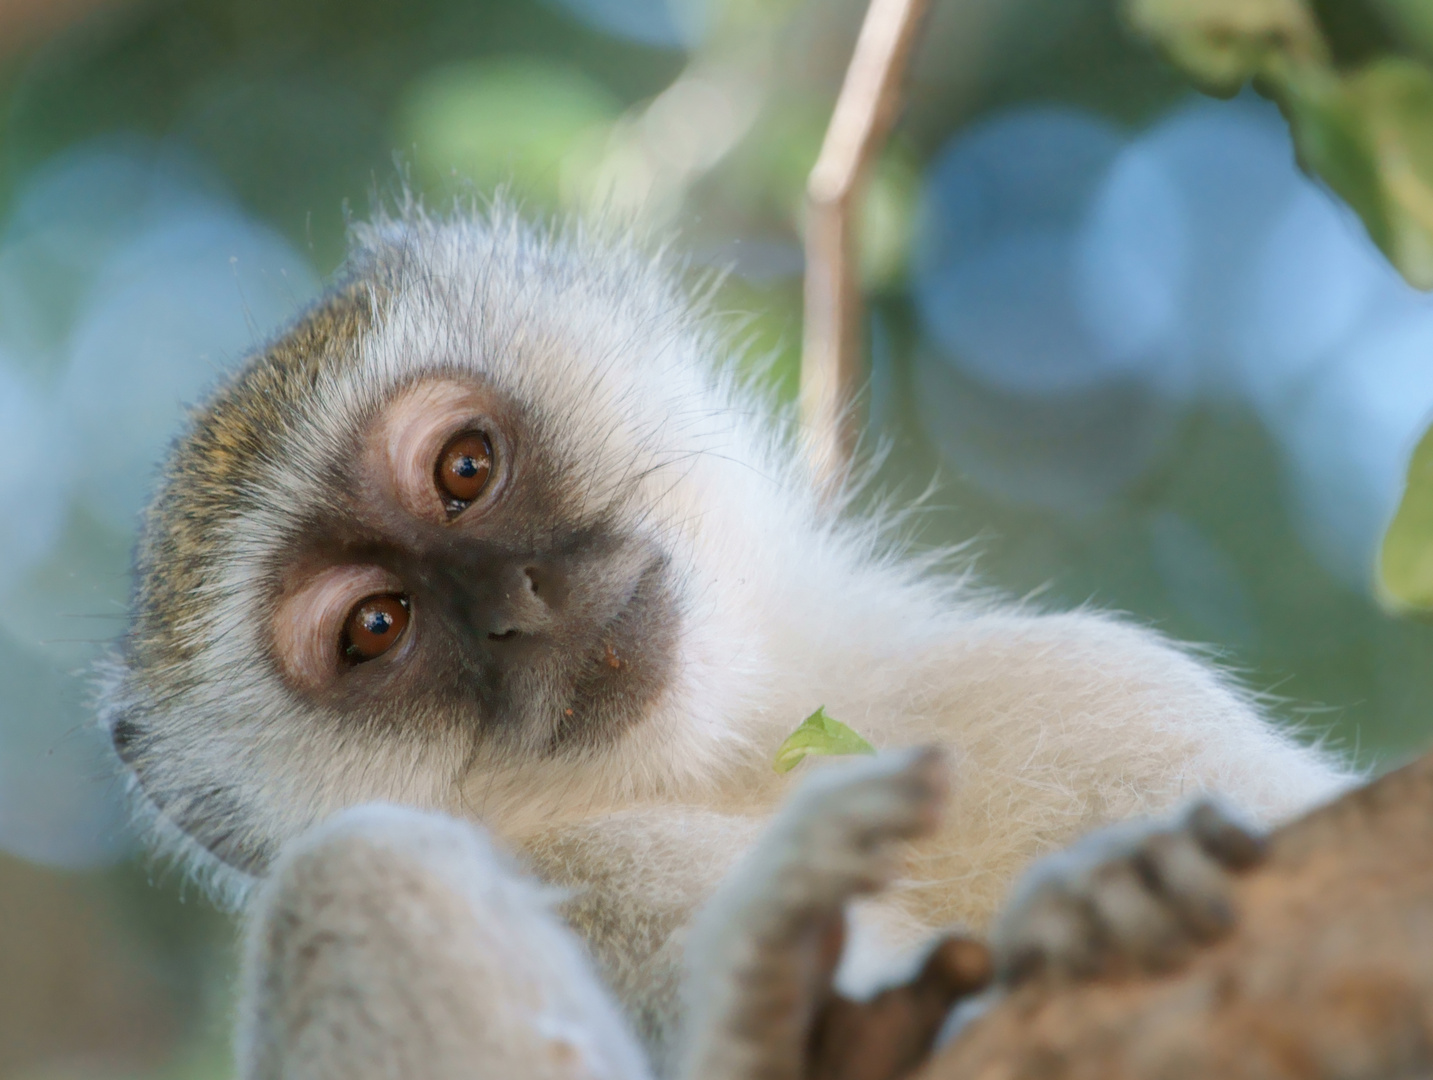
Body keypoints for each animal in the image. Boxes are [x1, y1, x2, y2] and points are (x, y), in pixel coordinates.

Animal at [106, 207, 1347, 1071]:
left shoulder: (1081, 684)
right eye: (375, 627)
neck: (744, 754)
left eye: (463, 468)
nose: (517, 602)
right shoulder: (583, 868)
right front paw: (1078, 901)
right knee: (350, 870)